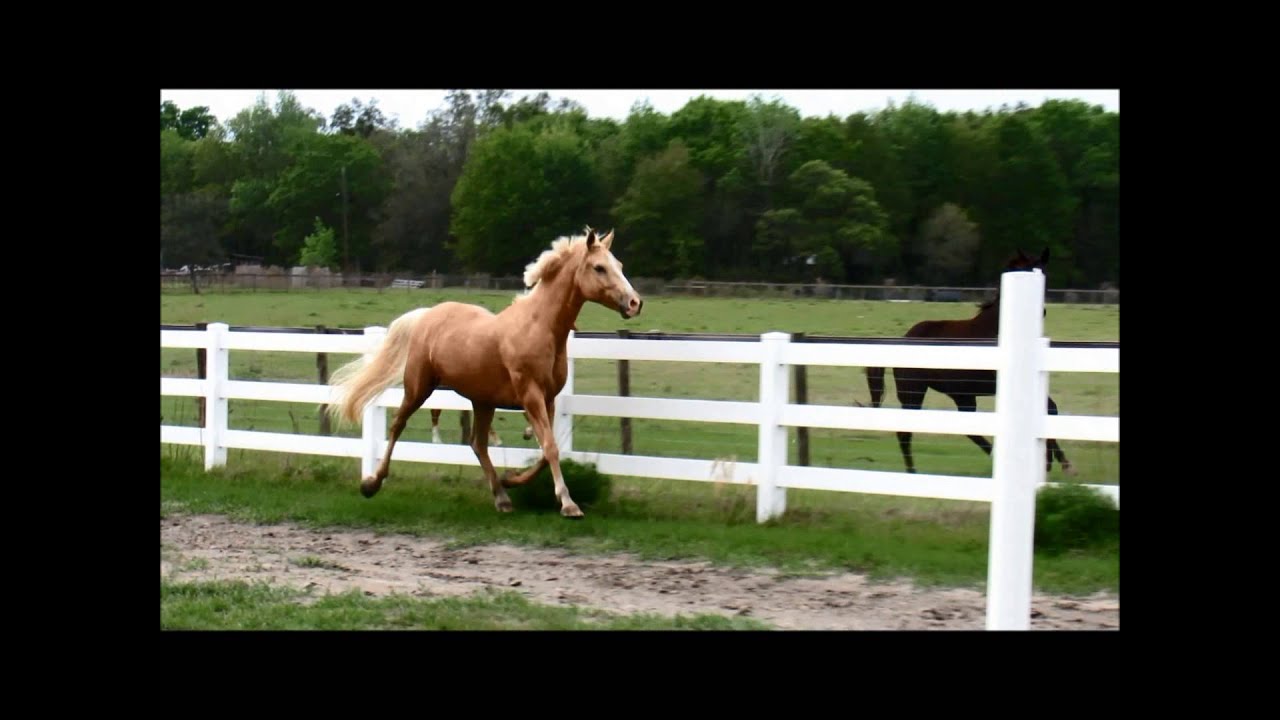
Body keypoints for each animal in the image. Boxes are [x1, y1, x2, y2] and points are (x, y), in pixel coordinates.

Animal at [327, 227, 643, 518]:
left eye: (619, 265)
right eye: (599, 267)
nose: (635, 303)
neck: (540, 328)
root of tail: (427, 315)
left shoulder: (548, 399)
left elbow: (548, 449)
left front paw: (512, 479)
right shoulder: (531, 396)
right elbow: (550, 447)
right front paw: (568, 504)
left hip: (482, 401)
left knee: (477, 444)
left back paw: (502, 496)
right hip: (419, 387)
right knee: (397, 426)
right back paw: (371, 484)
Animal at [865, 248, 1074, 476]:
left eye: (1045, 276)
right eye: (1026, 273)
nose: (1040, 311)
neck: (998, 330)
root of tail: (903, 339)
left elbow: (1050, 408)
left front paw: (1057, 461)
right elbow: (1049, 408)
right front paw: (1053, 461)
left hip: (961, 395)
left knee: (969, 430)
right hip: (914, 392)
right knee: (905, 432)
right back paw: (912, 472)